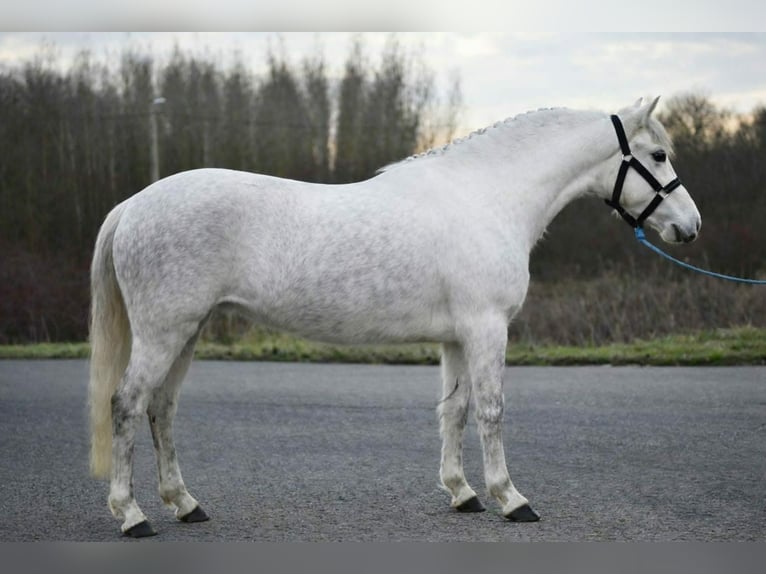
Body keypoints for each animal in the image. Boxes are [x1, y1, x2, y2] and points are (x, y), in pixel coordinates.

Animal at [88, 97, 701, 537]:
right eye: (658, 156)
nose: (689, 227)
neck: (488, 197)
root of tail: (133, 204)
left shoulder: (457, 337)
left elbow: (454, 410)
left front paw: (462, 493)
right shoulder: (487, 327)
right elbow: (491, 411)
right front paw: (510, 498)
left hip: (186, 332)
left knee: (162, 410)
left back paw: (185, 505)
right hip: (164, 333)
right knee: (127, 405)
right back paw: (132, 516)